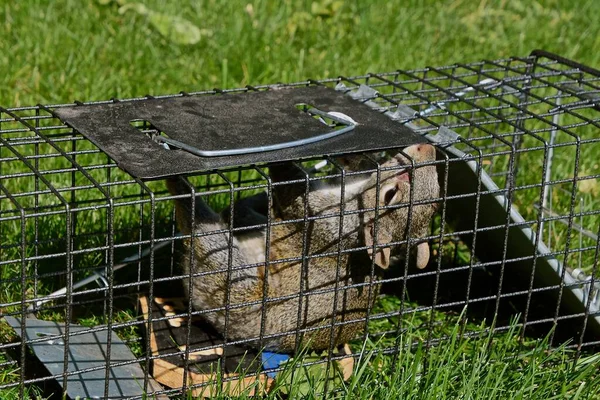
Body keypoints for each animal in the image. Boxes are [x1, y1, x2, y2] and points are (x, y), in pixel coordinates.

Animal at [166, 143, 438, 350]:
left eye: (390, 194)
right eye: (437, 194)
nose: (427, 147)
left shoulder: (322, 223)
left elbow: (291, 186)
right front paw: (356, 156)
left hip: (232, 283)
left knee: (204, 231)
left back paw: (180, 186)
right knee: (245, 212)